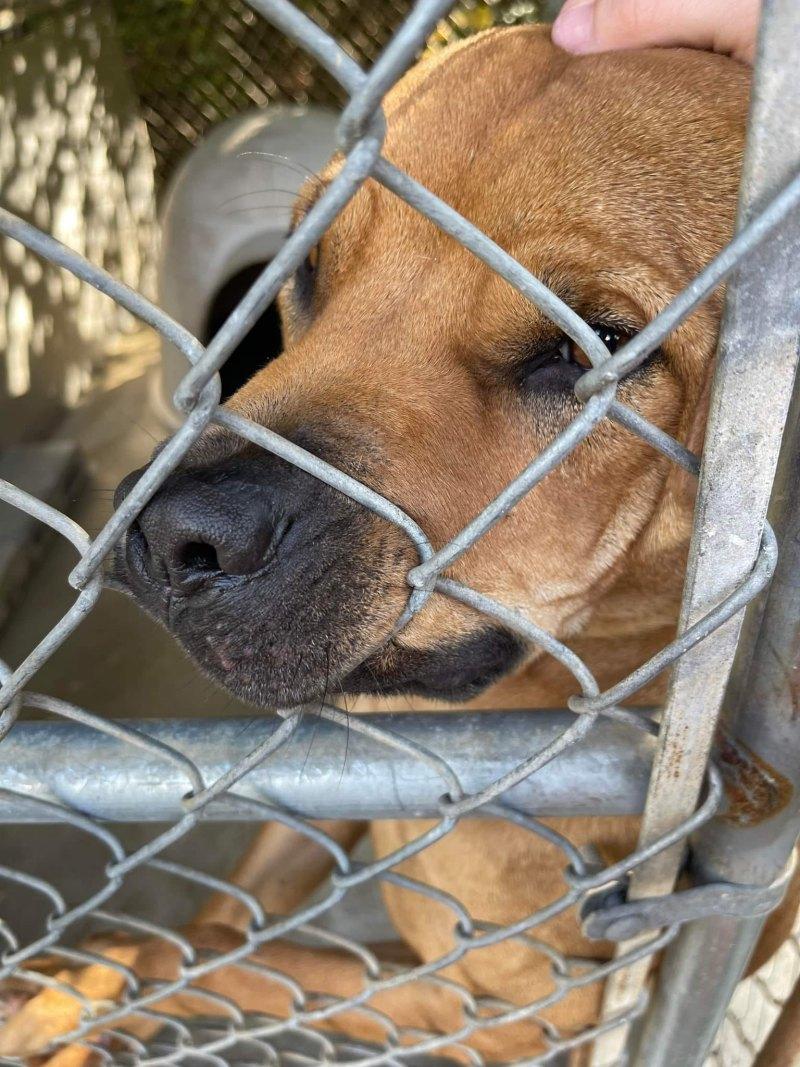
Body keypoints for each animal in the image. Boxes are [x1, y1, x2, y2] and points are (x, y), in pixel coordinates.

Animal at [0, 20, 797, 1062]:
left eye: (594, 350)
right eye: (304, 267)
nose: (173, 538)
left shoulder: (495, 1012)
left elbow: (250, 963)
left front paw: (65, 989)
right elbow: (212, 927)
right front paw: (80, 1001)